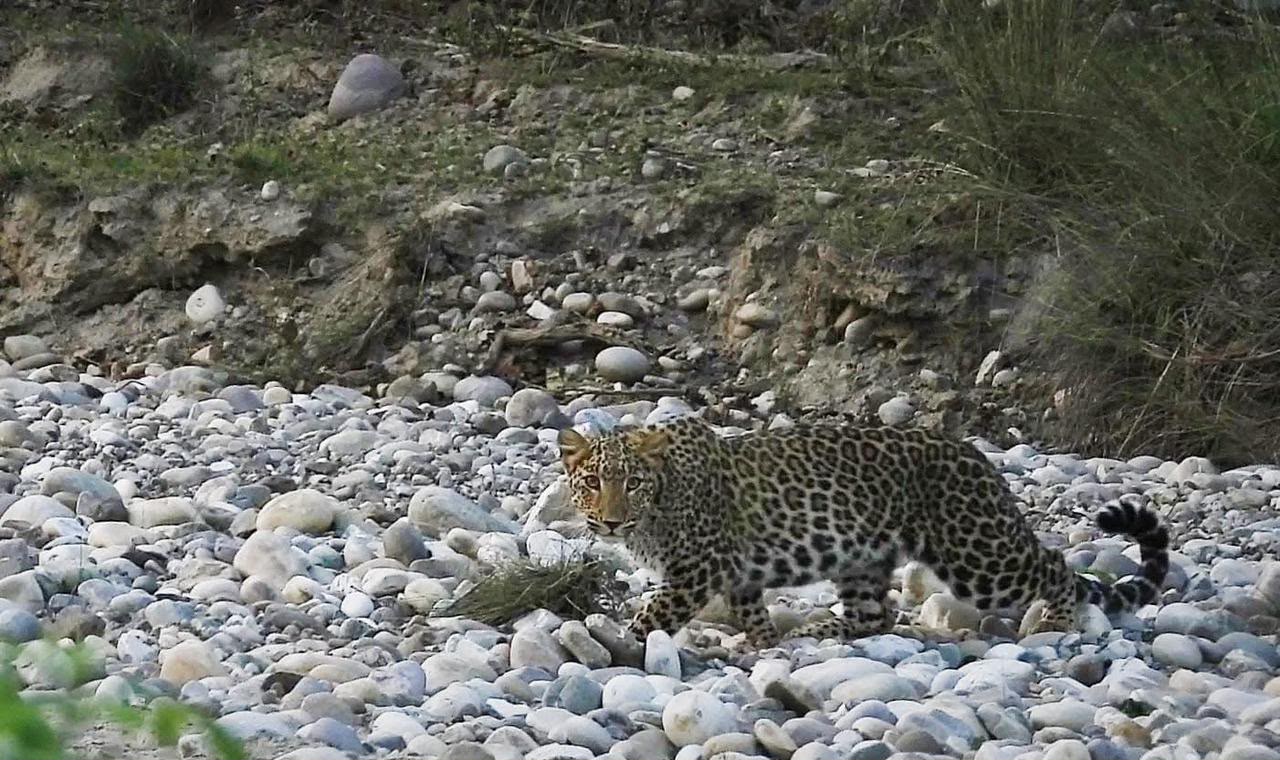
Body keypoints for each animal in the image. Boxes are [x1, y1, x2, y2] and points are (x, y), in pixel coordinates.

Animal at [557, 415, 1169, 645]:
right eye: (592, 482)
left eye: (633, 483)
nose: (610, 520)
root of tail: (976, 455)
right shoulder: (736, 574)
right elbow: (751, 611)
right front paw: (762, 645)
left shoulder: (694, 571)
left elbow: (653, 614)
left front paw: (619, 641)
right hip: (861, 559)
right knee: (875, 618)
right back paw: (816, 632)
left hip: (977, 553)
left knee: (1052, 565)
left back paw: (1056, 622)